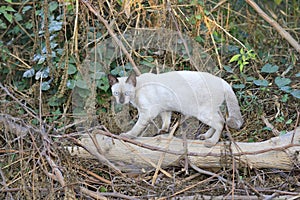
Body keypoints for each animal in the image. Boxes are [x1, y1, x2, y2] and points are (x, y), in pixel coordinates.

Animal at [108, 71, 244, 146]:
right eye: (116, 93)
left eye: (127, 93)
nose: (121, 101)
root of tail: (223, 81)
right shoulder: (164, 108)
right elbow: (166, 120)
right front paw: (164, 131)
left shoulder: (147, 113)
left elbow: (137, 128)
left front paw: (127, 135)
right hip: (211, 111)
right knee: (220, 121)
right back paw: (205, 136)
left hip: (203, 113)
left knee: (221, 123)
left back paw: (211, 142)